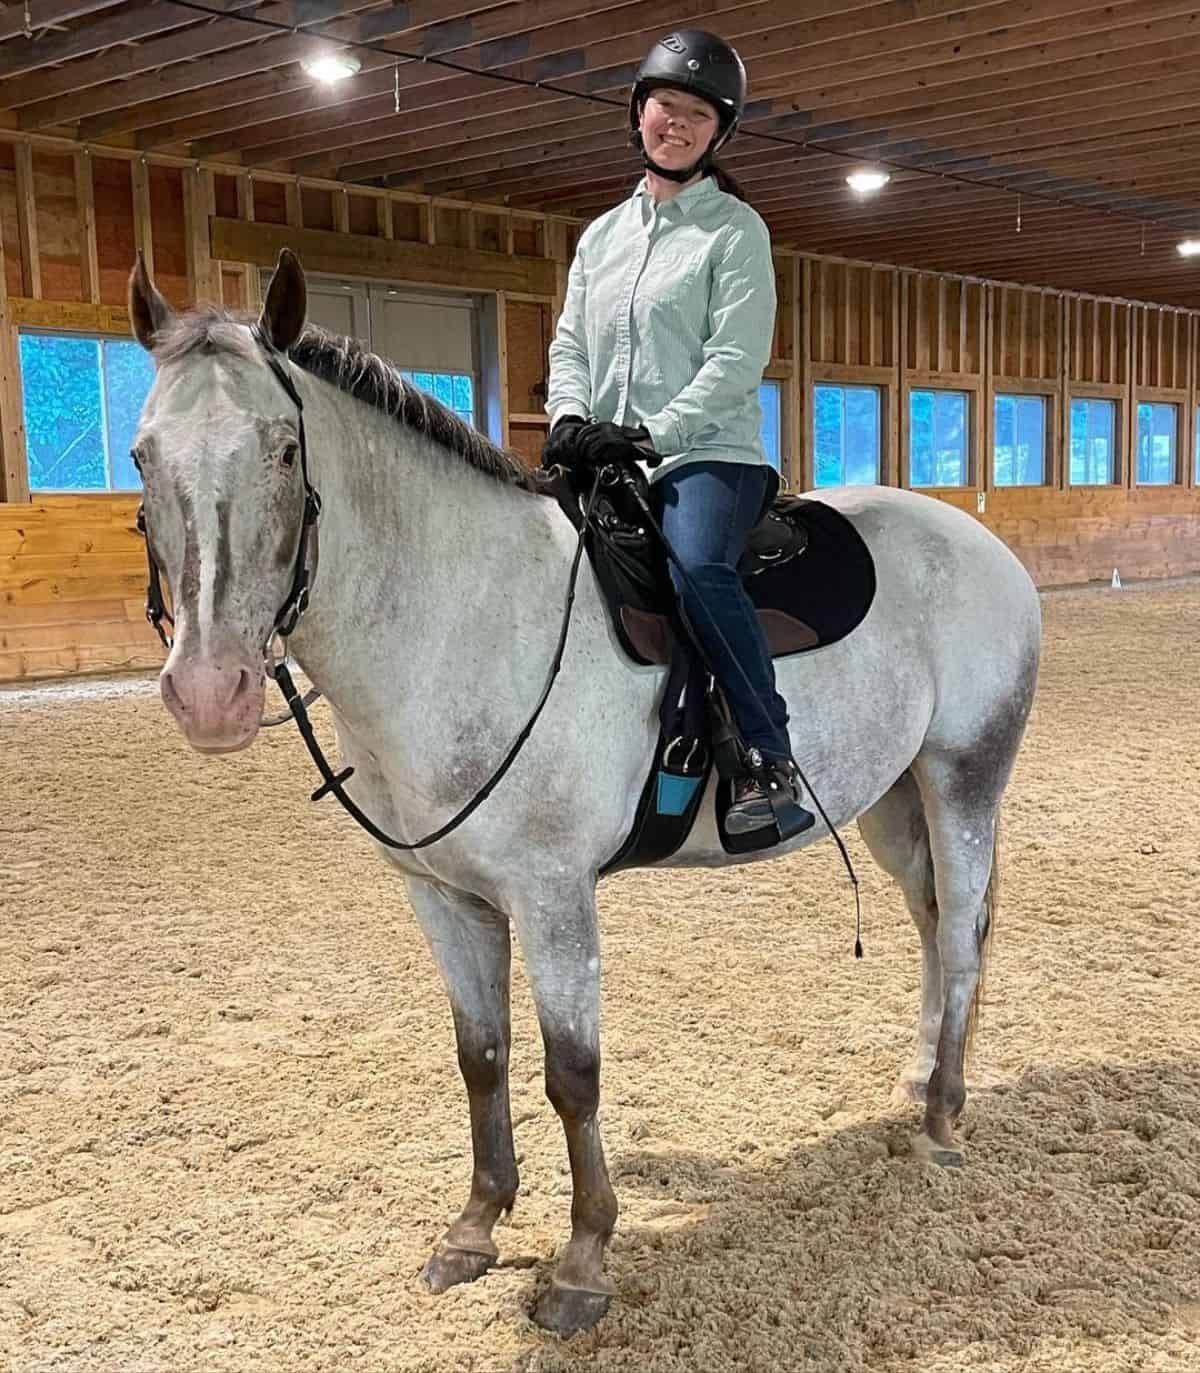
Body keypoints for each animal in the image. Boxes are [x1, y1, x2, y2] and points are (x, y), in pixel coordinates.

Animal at [126, 252, 1032, 1334]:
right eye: (141, 455)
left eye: (284, 448)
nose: (209, 692)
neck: (463, 617)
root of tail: (981, 541)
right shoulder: (446, 896)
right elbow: (481, 1054)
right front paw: (475, 1226)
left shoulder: (554, 896)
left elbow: (571, 1073)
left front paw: (582, 1260)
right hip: (894, 798)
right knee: (935, 923)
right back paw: (923, 1076)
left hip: (964, 777)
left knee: (966, 930)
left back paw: (941, 1119)